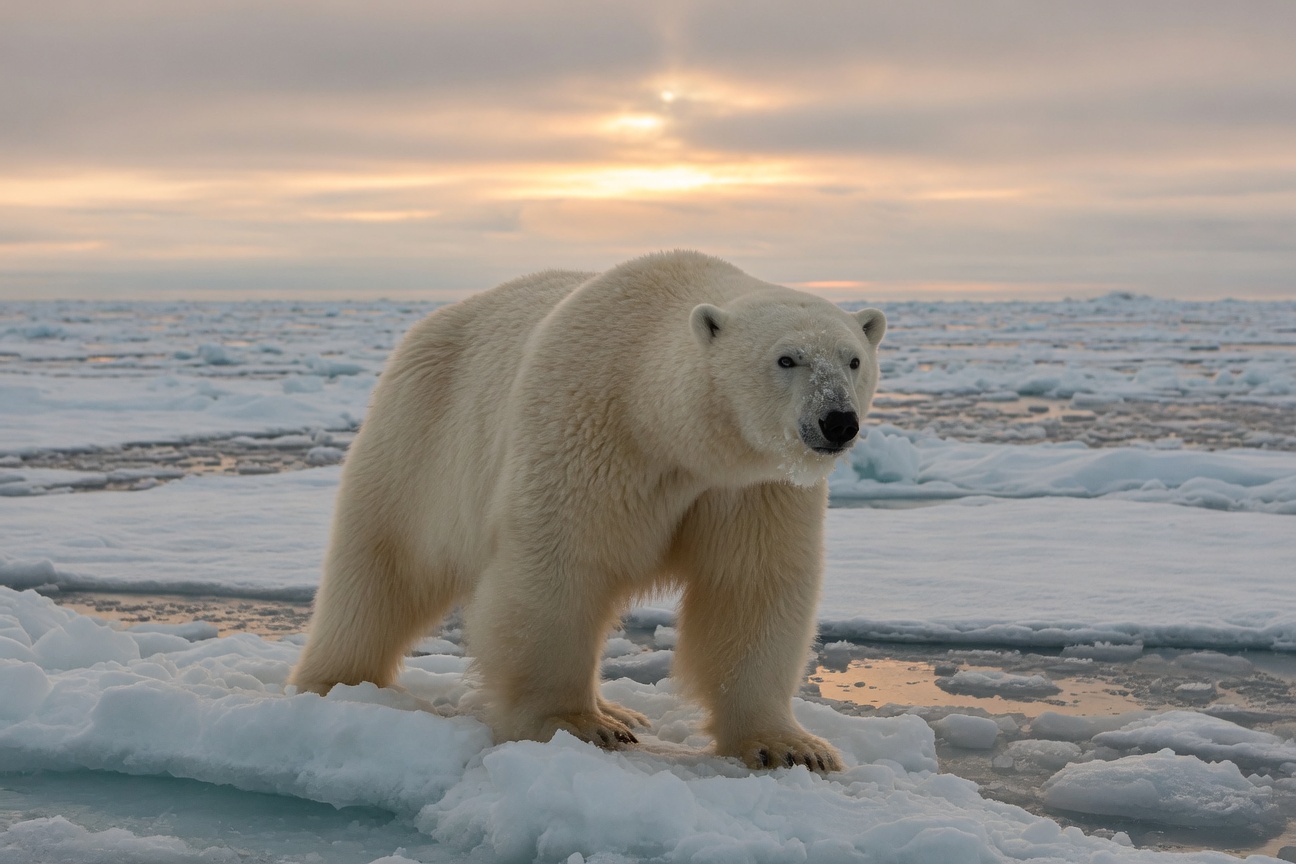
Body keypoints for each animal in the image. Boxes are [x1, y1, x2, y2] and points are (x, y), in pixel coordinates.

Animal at [290, 250, 886, 772]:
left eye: (854, 359)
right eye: (786, 359)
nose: (837, 420)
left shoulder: (753, 485)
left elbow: (754, 583)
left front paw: (791, 747)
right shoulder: (590, 427)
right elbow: (561, 565)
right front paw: (575, 723)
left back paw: (625, 709)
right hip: (420, 436)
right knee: (381, 563)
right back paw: (335, 680)